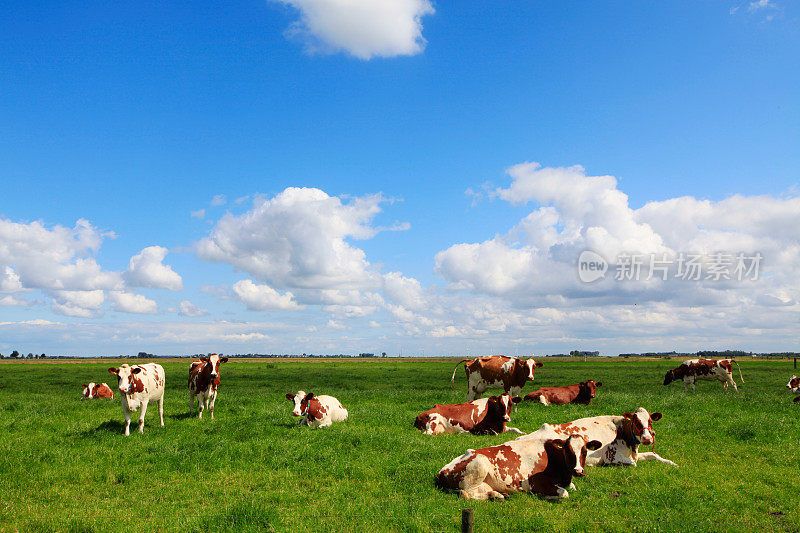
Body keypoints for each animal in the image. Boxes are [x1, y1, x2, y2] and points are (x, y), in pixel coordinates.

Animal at [438, 432, 600, 498]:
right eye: (568, 450)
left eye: (585, 451)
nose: (578, 471)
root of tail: (442, 471)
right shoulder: (536, 482)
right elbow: (565, 493)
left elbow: (572, 488)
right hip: (479, 464)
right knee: (466, 493)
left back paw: (497, 495)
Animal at [516, 408, 680, 466]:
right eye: (636, 421)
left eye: (650, 421)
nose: (647, 438)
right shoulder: (611, 456)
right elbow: (633, 464)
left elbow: (654, 455)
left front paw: (672, 463)